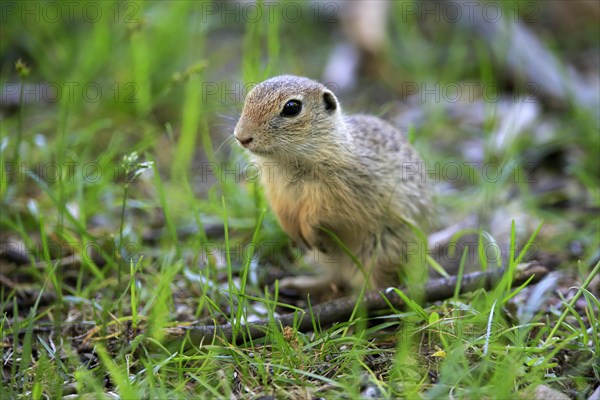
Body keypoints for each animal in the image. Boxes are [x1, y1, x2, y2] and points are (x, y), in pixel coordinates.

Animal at [234, 75, 432, 296]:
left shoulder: (337, 195)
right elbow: (283, 212)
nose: (241, 137)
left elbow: (319, 213)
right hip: (327, 257)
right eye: (249, 97)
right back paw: (297, 284)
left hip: (380, 249)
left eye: (292, 108)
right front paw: (291, 230)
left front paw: (306, 227)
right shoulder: (276, 192)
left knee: (377, 281)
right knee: (334, 277)